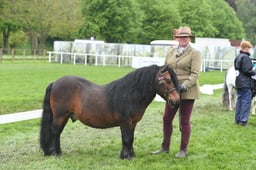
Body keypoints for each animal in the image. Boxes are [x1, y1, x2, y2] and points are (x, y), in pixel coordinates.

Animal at [40, 64, 180, 159]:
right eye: (168, 80)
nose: (177, 100)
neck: (130, 94)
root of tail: (55, 83)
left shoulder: (133, 123)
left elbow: (131, 138)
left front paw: (131, 155)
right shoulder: (125, 122)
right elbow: (127, 138)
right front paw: (126, 157)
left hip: (64, 117)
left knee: (57, 133)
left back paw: (58, 152)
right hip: (59, 116)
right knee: (54, 132)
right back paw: (54, 153)